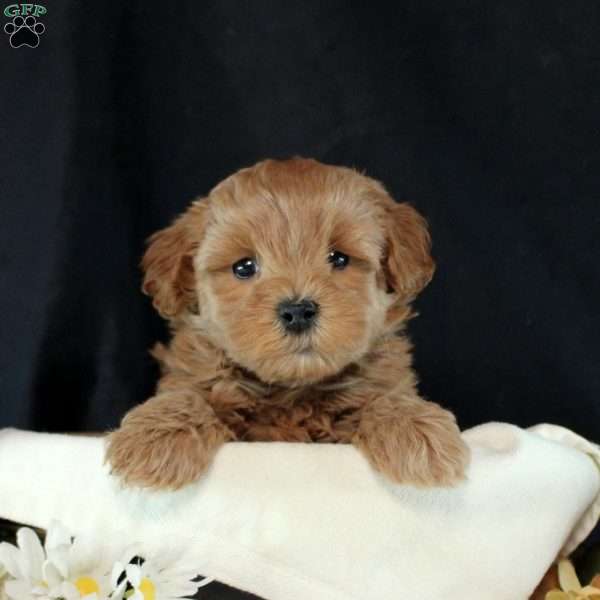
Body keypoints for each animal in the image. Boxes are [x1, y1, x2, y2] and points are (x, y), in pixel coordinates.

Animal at [105, 158, 472, 488]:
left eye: (339, 258)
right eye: (244, 267)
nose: (298, 311)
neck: (292, 390)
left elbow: (384, 396)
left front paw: (416, 429)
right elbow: (187, 394)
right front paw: (155, 437)